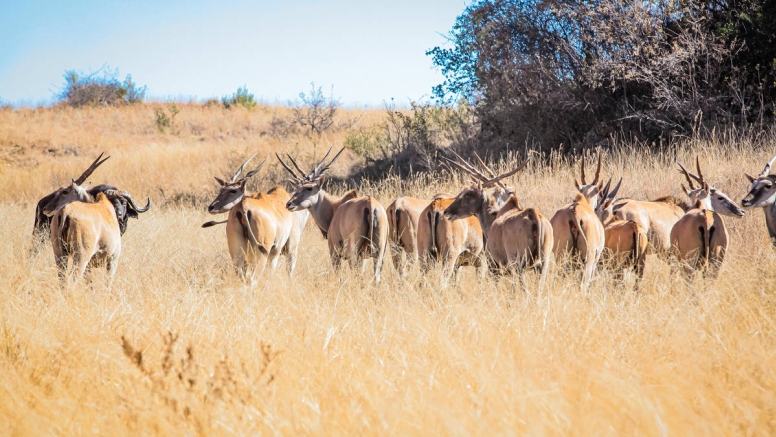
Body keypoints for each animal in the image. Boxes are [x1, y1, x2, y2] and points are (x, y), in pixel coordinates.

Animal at [276, 147, 392, 282]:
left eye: (309, 188)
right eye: (297, 187)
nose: (289, 204)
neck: (336, 207)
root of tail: (370, 204)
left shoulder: (335, 253)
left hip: (354, 254)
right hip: (378, 254)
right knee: (376, 278)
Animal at [442, 155, 552, 292]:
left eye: (469, 193)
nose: (447, 211)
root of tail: (533, 214)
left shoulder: (493, 266)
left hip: (518, 265)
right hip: (543, 264)